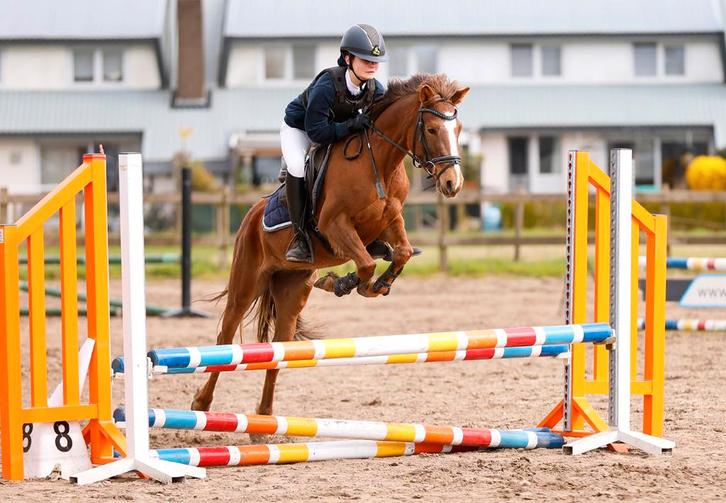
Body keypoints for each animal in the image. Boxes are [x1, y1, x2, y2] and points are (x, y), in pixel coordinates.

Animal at [191, 73, 469, 416]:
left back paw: (264, 416)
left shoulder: (390, 221)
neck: (379, 162)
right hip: (246, 284)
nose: (452, 183)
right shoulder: (335, 226)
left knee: (278, 350)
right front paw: (342, 283)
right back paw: (202, 402)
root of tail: (251, 216)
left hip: (291, 291)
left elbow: (399, 253)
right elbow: (365, 263)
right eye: (431, 129)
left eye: (457, 130)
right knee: (225, 337)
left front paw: (374, 284)